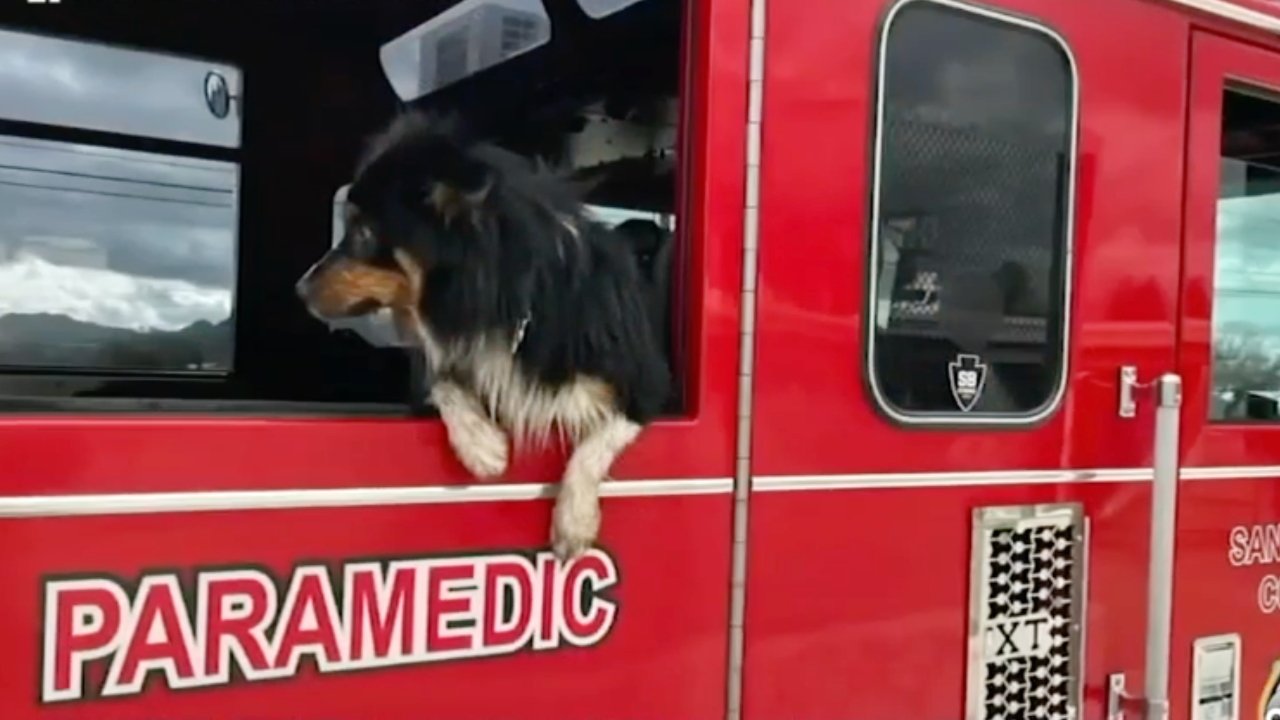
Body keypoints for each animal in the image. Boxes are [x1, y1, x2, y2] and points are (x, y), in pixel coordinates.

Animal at [291, 113, 670, 561]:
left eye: (363, 232)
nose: (298, 289)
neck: (500, 304)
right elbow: (442, 381)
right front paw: (483, 446)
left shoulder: (648, 383)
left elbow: (601, 438)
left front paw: (574, 522)